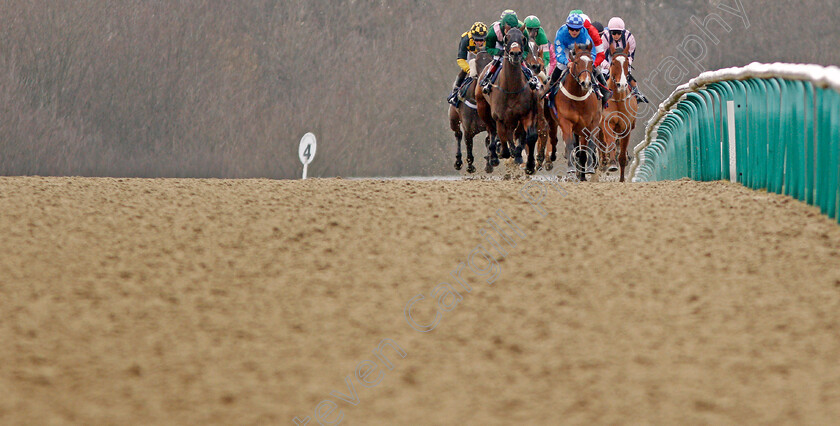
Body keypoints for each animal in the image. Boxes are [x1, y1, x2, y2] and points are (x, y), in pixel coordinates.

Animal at [480, 27, 540, 175]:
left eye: (522, 38)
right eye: (506, 38)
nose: (515, 53)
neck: (512, 88)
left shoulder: (527, 113)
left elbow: (529, 137)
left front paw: (529, 165)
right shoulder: (500, 118)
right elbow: (503, 141)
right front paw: (501, 152)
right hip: (483, 109)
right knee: (492, 131)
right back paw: (494, 155)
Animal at [544, 43, 604, 181]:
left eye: (591, 62)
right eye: (576, 62)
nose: (586, 83)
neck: (579, 99)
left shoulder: (592, 122)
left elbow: (590, 144)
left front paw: (589, 168)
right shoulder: (566, 122)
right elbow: (570, 144)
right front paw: (571, 168)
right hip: (552, 122)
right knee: (554, 138)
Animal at [600, 48, 640, 181]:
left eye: (627, 63)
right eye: (613, 63)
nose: (621, 85)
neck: (617, 99)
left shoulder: (626, 128)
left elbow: (622, 155)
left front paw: (622, 180)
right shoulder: (607, 123)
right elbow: (610, 143)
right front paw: (611, 163)